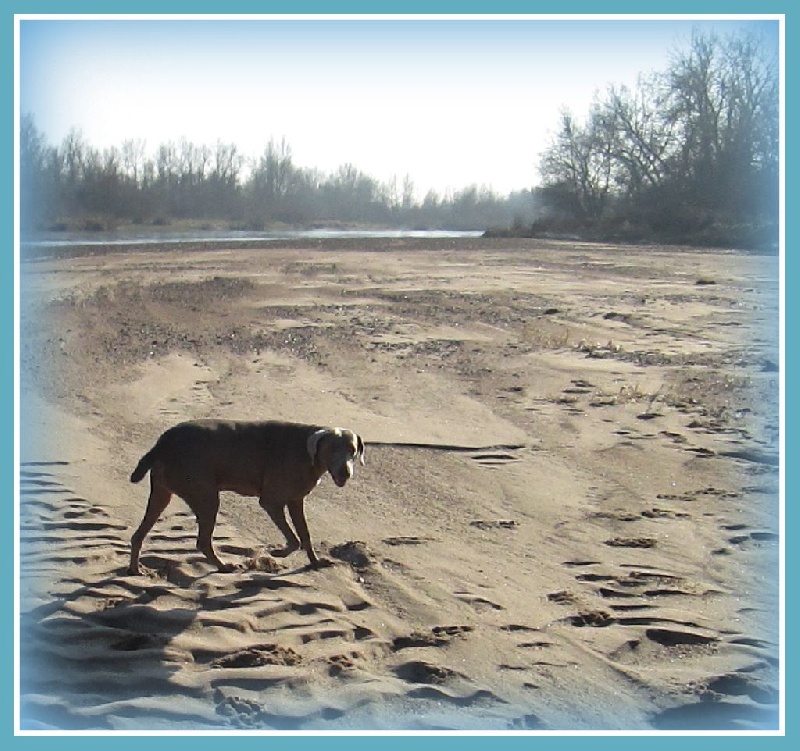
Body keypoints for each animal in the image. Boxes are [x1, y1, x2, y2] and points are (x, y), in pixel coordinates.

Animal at [128, 419, 365, 575]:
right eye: (331, 448)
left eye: (352, 449)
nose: (345, 472)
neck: (309, 454)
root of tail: (163, 442)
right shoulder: (271, 501)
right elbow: (294, 539)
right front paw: (279, 553)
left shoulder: (296, 500)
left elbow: (305, 535)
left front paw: (316, 563)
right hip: (205, 495)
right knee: (203, 540)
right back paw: (224, 566)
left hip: (162, 492)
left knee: (138, 535)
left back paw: (135, 569)